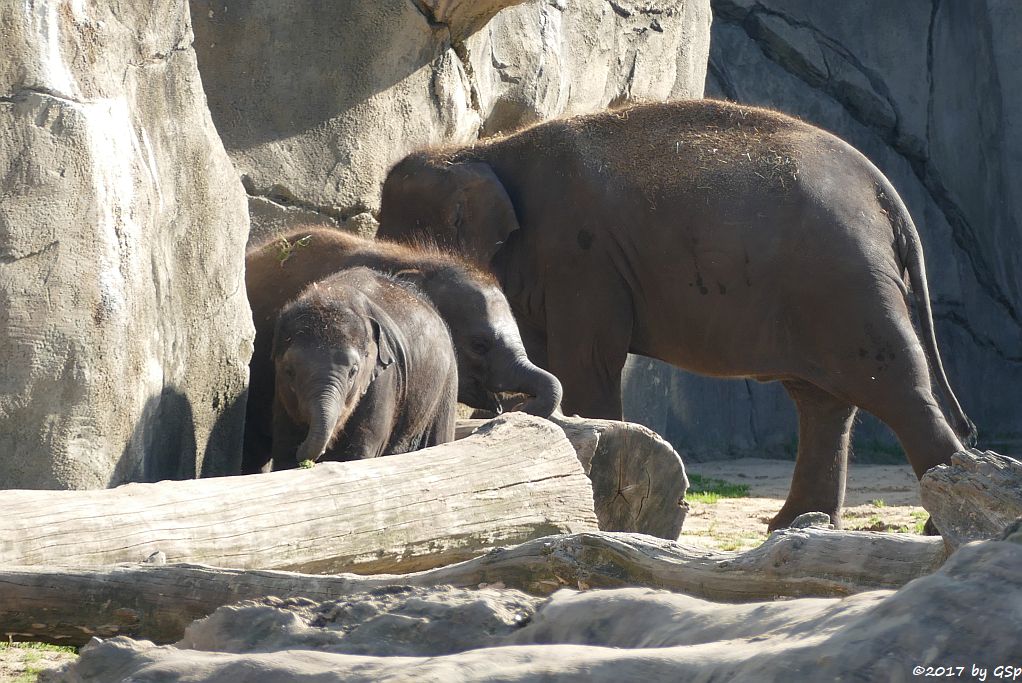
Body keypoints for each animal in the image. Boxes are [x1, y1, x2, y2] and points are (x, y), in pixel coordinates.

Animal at [269, 263, 457, 466]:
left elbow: (361, 450)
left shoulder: (384, 379)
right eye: (289, 371)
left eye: (353, 371)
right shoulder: (281, 393)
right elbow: (282, 448)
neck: (333, 294)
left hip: (446, 387)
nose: (302, 449)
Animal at [376, 98, 972, 531]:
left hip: (847, 279)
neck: (478, 150)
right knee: (822, 401)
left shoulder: (581, 258)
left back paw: (940, 523)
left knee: (894, 388)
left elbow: (585, 360)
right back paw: (793, 526)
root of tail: (883, 191)